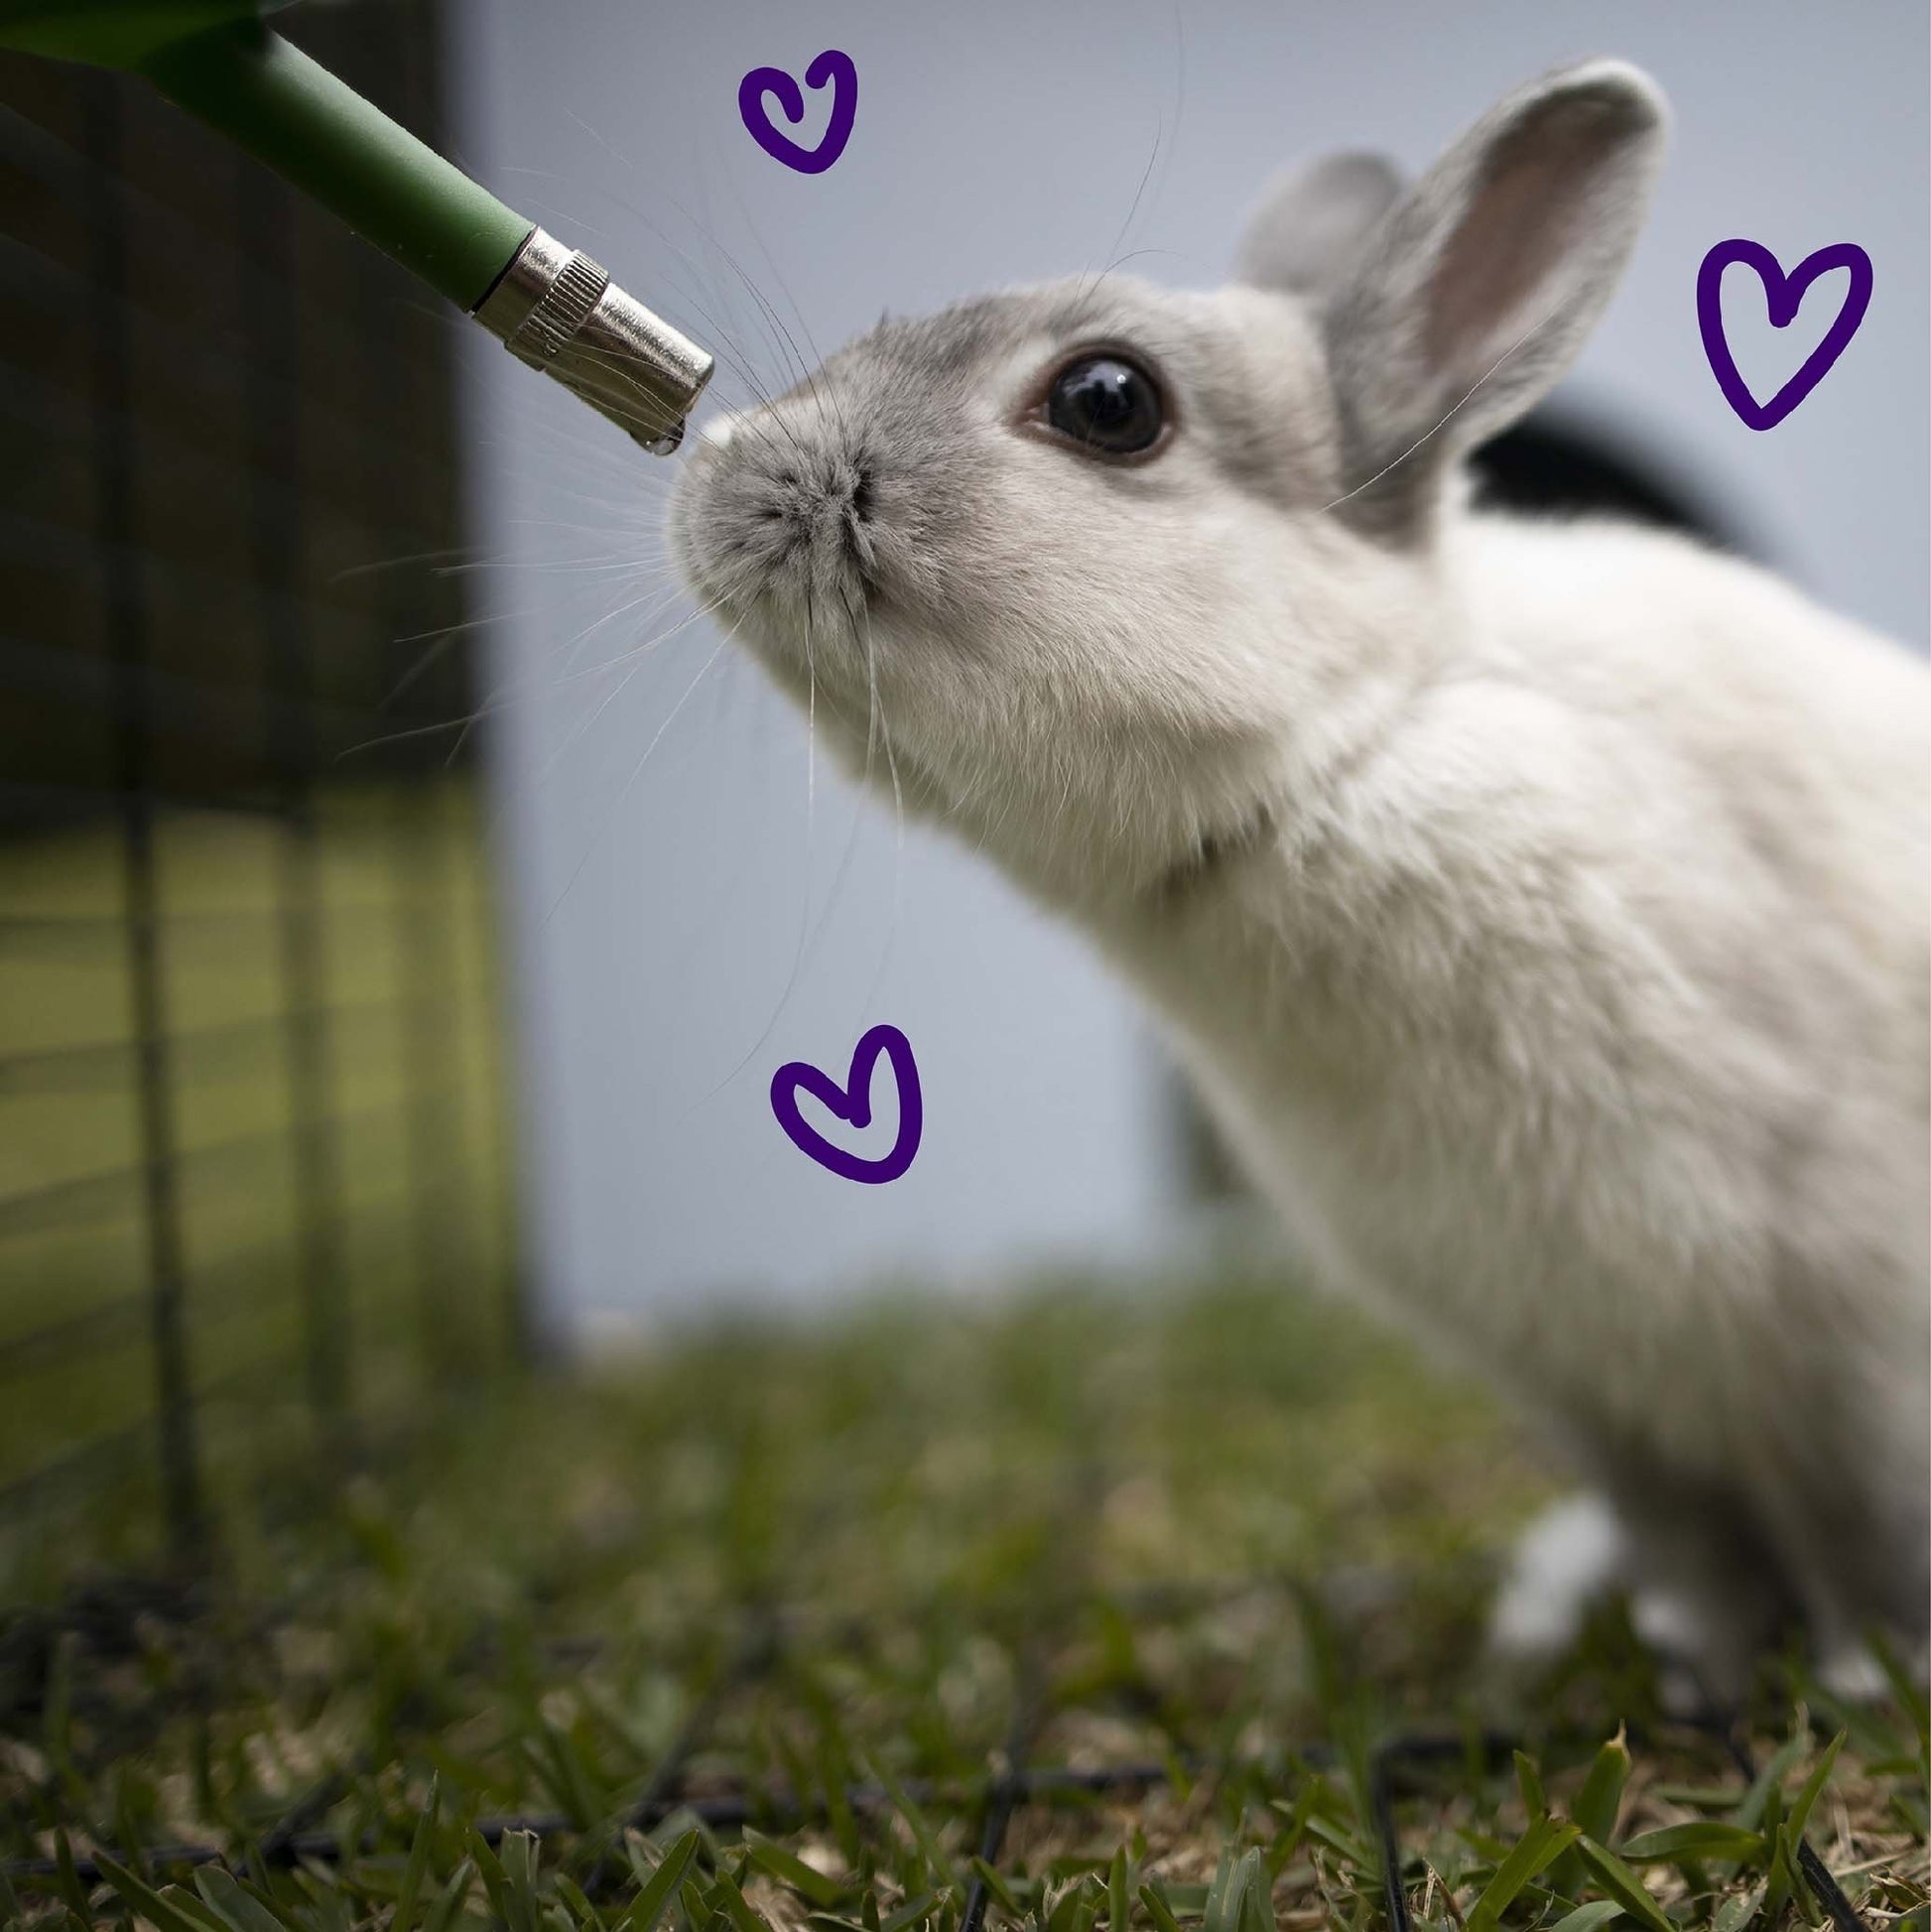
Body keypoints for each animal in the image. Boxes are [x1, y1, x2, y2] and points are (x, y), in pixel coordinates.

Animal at [668, 56, 1931, 1702]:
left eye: (1108, 401)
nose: (718, 467)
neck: (1350, 752)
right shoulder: (1584, 1381)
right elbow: (1694, 1550)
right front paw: (1697, 1669)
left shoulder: (1835, 1335)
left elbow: (1855, 1542)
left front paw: (1861, 1681)